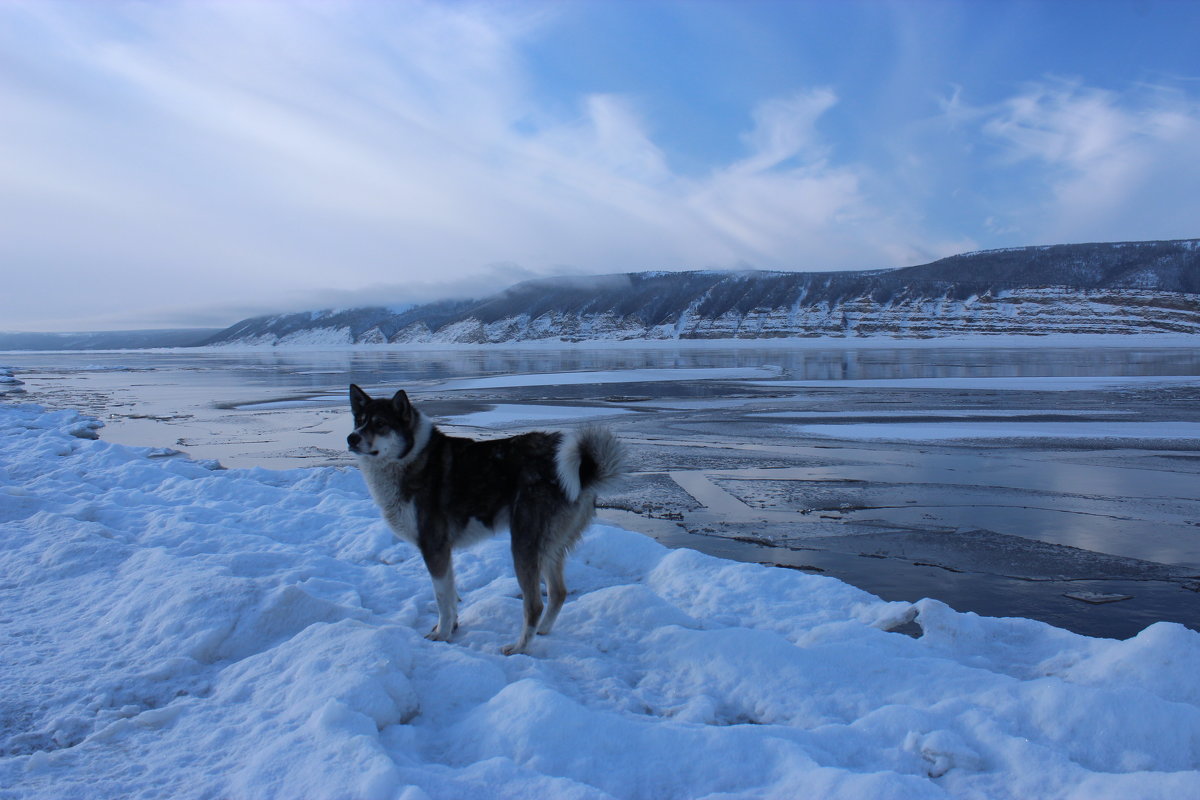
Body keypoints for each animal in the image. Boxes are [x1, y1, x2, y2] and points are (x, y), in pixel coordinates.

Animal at [348, 386, 628, 657]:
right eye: (359, 421)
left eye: (380, 423)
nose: (351, 438)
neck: (411, 456)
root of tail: (583, 472)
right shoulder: (443, 552)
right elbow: (450, 595)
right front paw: (450, 627)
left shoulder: (434, 548)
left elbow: (442, 599)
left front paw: (442, 634)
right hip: (549, 547)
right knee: (558, 593)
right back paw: (542, 631)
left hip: (523, 545)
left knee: (534, 605)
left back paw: (519, 648)